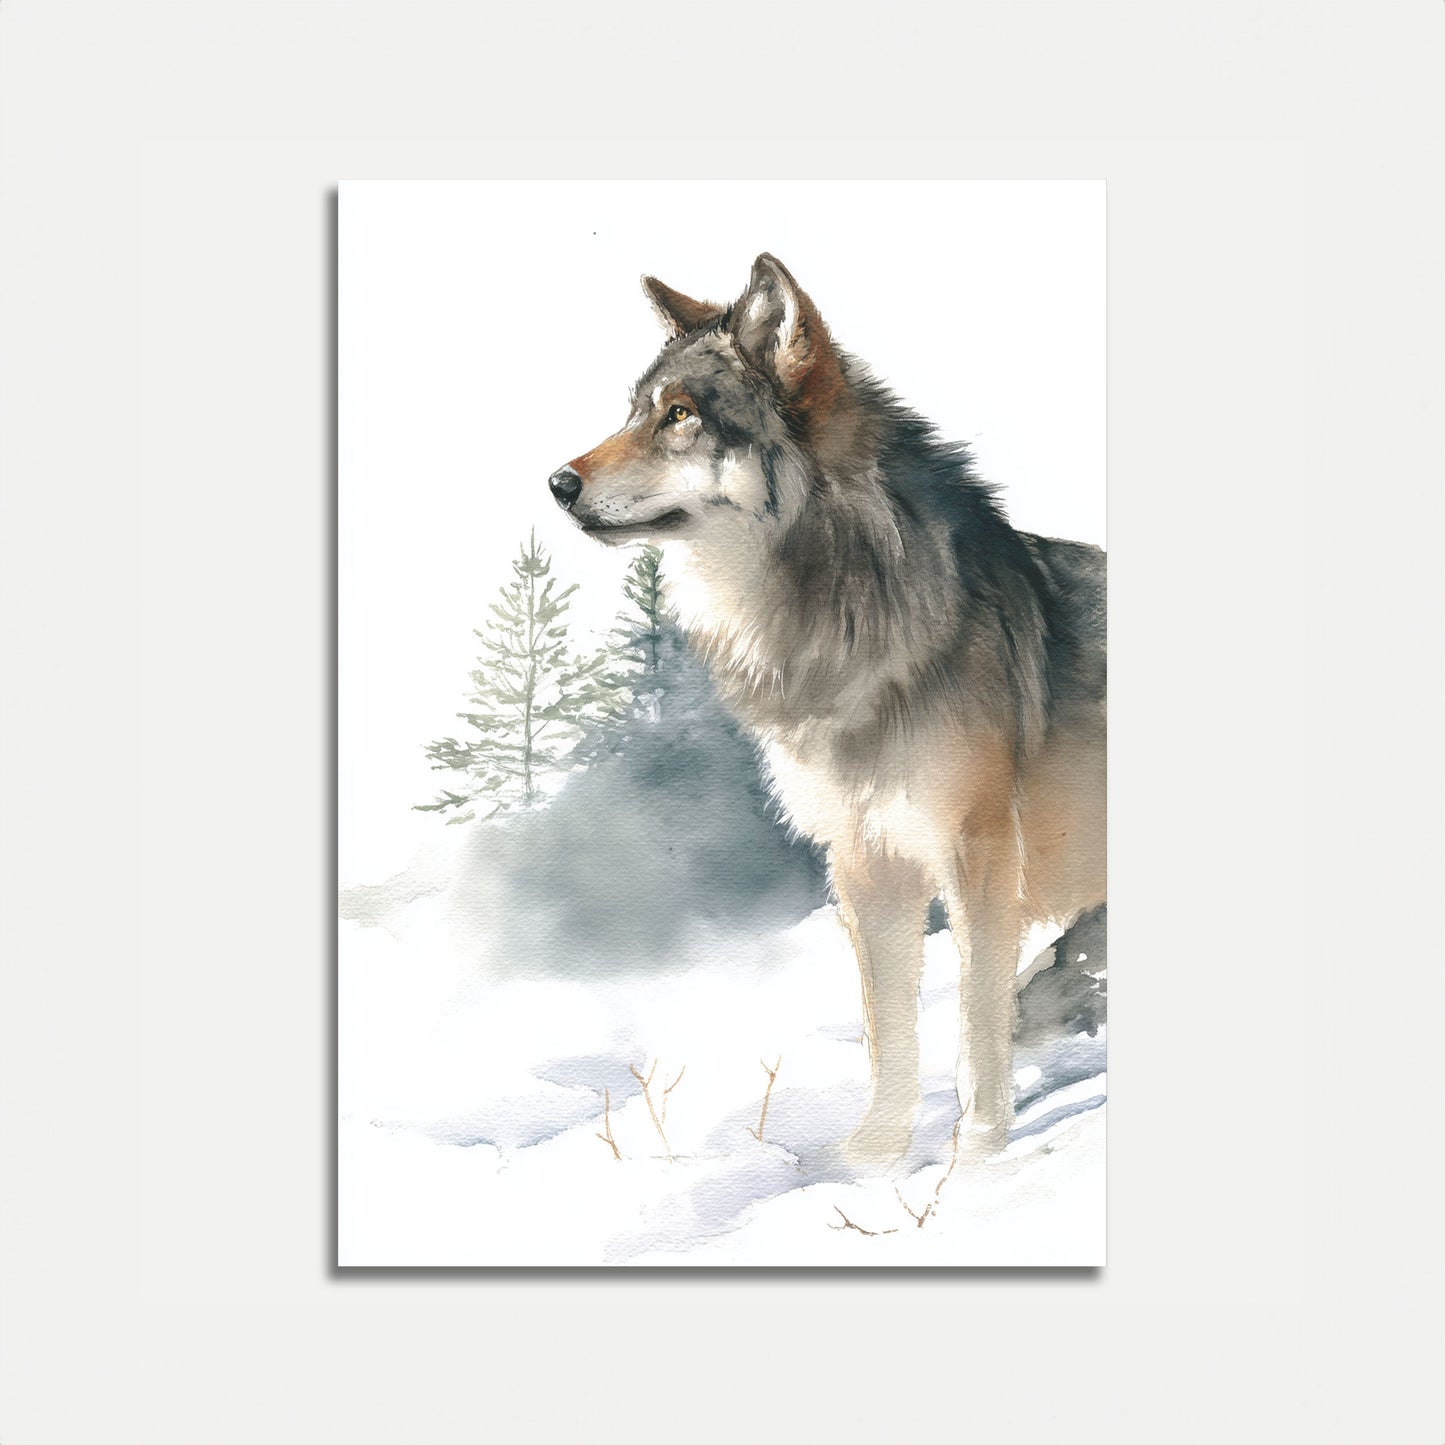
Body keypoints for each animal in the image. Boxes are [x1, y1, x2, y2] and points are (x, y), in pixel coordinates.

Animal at [548, 255, 1105, 1167]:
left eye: (680, 414)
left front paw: (978, 1148)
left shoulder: (980, 856)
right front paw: (876, 1154)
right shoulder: (864, 861)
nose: (558, 483)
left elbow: (974, 1019)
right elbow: (890, 1027)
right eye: (633, 410)